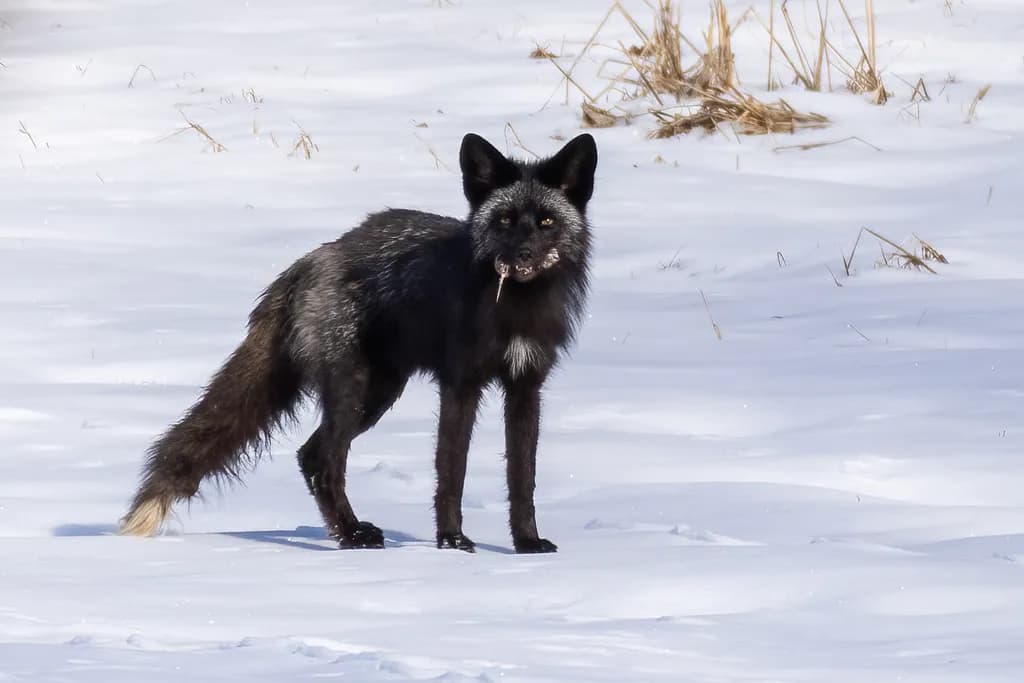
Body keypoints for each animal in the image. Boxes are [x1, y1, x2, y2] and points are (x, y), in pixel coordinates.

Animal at [119, 132, 598, 553]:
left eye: (547, 222)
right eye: (504, 221)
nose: (522, 256)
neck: (514, 309)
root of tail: (313, 257)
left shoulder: (526, 385)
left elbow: (523, 477)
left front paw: (527, 544)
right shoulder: (461, 383)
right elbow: (451, 472)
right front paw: (453, 543)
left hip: (378, 392)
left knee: (310, 454)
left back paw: (347, 532)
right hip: (356, 389)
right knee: (323, 460)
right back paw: (352, 536)